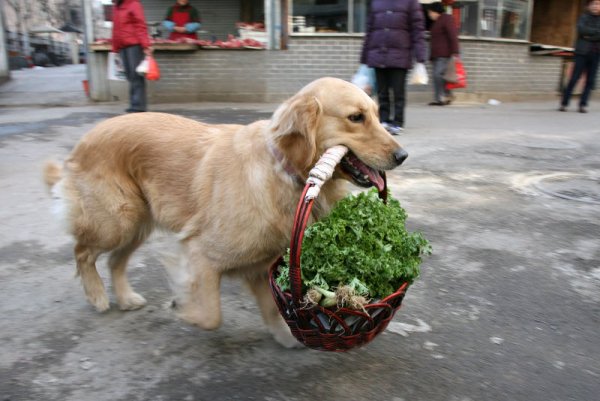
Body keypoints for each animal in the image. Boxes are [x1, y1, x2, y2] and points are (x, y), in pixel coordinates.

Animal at [42, 77, 408, 346]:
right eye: (356, 118)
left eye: (378, 115)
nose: (402, 155)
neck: (284, 171)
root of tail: (81, 144)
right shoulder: (201, 254)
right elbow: (211, 316)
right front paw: (180, 308)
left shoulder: (260, 267)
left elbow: (273, 310)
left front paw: (290, 337)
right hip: (118, 220)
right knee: (82, 252)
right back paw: (96, 295)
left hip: (136, 224)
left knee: (114, 261)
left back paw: (125, 297)